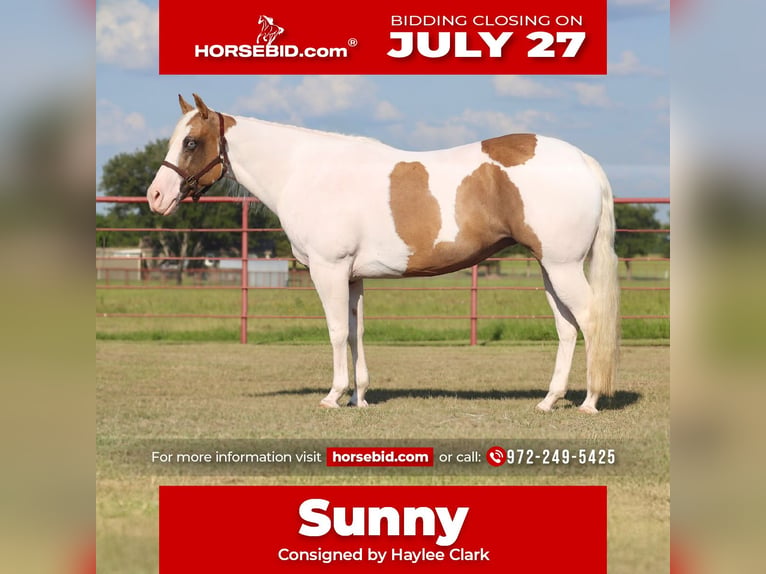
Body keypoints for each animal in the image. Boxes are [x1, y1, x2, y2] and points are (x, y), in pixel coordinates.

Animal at [147, 94, 620, 413]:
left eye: (191, 142)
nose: (155, 196)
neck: (306, 171)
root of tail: (582, 159)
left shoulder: (329, 270)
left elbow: (337, 331)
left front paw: (333, 396)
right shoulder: (353, 277)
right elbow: (356, 333)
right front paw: (360, 397)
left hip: (562, 267)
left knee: (591, 321)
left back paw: (590, 401)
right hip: (551, 269)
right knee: (567, 329)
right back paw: (549, 400)